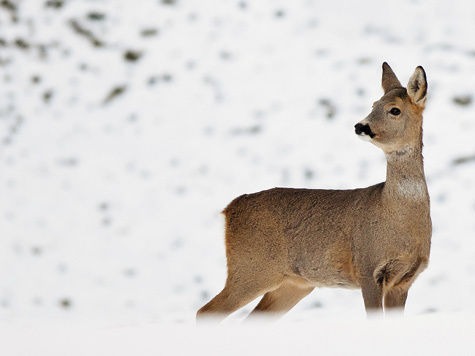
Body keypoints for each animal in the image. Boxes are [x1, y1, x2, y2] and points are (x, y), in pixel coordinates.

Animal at [196, 62, 432, 322]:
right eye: (373, 105)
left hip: (292, 284)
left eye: (394, 110)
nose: (360, 126)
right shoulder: (368, 269)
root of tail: (230, 209)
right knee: (204, 311)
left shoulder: (404, 280)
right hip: (250, 268)